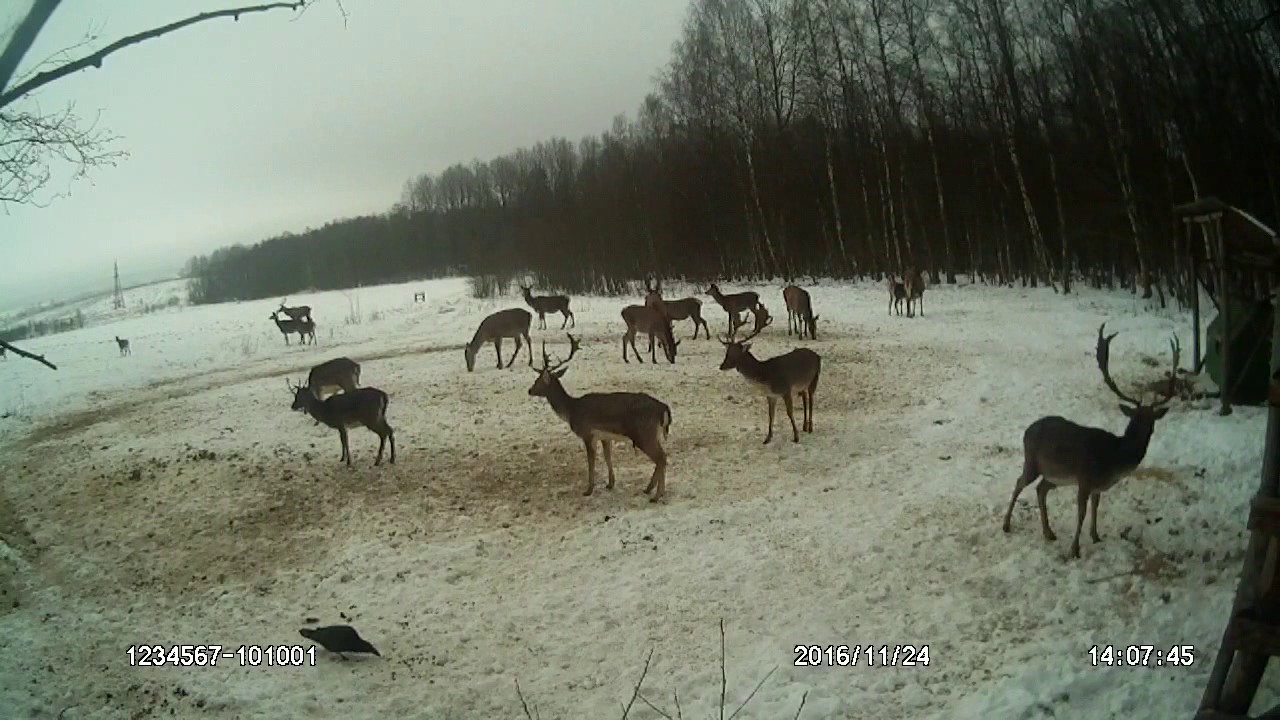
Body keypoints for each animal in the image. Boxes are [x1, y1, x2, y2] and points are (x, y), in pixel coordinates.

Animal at [527, 334, 673, 502]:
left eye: (538, 380)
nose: (529, 390)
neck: (571, 410)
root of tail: (663, 408)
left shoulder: (587, 433)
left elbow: (591, 462)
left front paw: (588, 490)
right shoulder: (605, 436)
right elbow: (607, 457)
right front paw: (610, 483)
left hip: (644, 433)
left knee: (661, 458)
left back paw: (657, 495)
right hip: (653, 434)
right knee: (662, 457)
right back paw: (649, 489)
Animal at [1001, 322, 1181, 559]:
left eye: (1151, 420)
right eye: (1135, 419)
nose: (1145, 435)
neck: (1114, 458)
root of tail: (1026, 431)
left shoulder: (1097, 486)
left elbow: (1095, 508)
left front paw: (1096, 537)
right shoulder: (1085, 478)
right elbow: (1082, 512)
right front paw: (1074, 549)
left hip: (1054, 475)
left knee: (1041, 489)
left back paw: (1048, 532)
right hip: (1032, 461)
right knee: (1020, 482)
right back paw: (1006, 524)